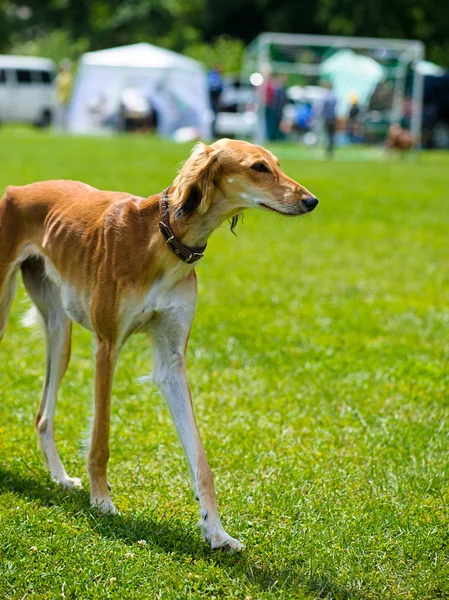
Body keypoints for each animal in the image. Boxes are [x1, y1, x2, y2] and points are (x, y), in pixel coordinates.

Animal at [0, 138, 316, 552]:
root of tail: (16, 190)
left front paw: (216, 531)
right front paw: (102, 500)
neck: (164, 242)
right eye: (258, 167)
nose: (311, 201)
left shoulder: (172, 359)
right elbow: (100, 438)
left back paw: (59, 476)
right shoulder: (107, 346)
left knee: (42, 415)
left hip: (59, 331)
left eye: (277, 162)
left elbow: (200, 459)